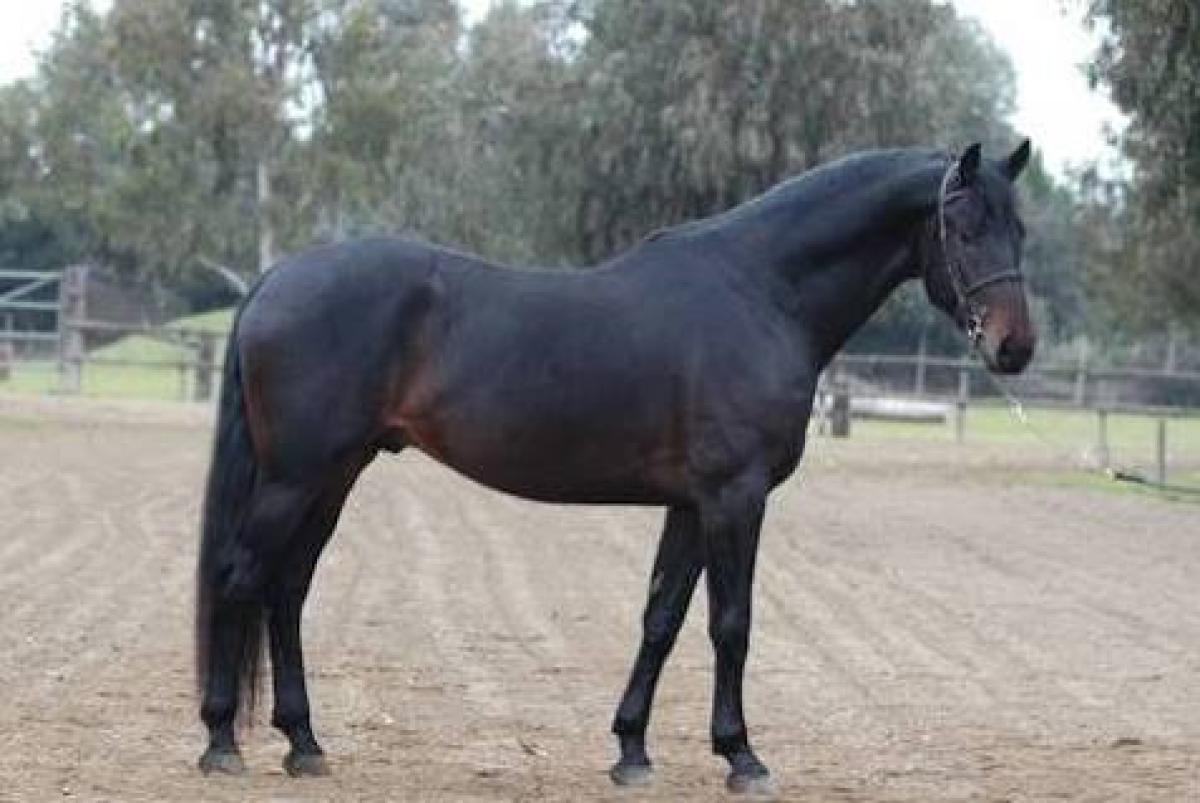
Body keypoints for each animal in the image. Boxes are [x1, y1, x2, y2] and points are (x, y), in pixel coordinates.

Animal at [195, 140, 1035, 793]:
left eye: (1021, 230)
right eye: (963, 228)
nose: (1014, 347)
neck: (760, 292)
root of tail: (276, 279)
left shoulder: (692, 504)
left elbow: (662, 617)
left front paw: (632, 749)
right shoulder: (736, 498)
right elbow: (731, 623)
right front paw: (743, 757)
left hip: (334, 475)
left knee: (287, 590)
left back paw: (305, 744)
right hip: (295, 478)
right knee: (241, 579)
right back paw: (222, 743)